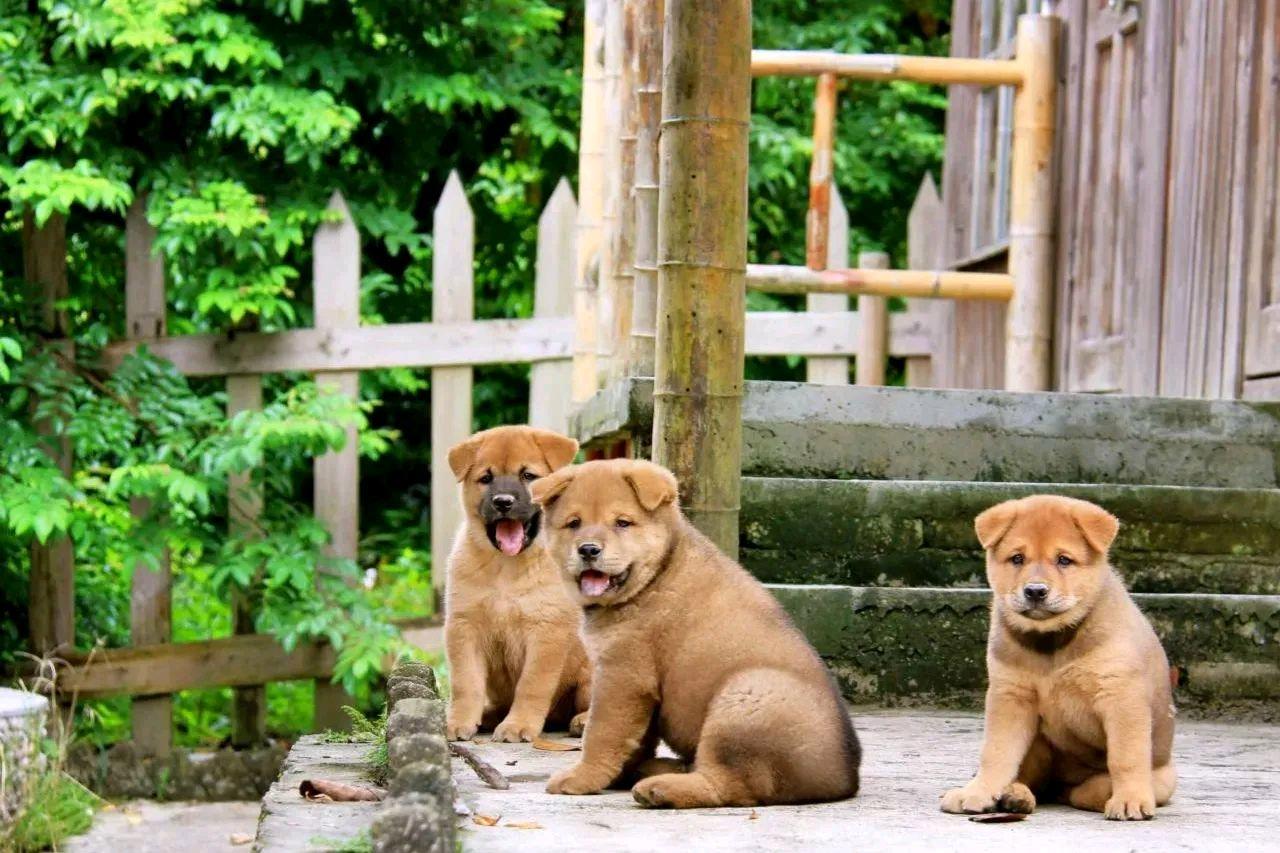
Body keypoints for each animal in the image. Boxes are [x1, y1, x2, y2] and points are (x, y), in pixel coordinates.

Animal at [442, 422, 591, 737]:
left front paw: (518, 725)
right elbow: (465, 683)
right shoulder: (464, 627)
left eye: (528, 476)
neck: (507, 569)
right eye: (486, 478)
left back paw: (583, 720)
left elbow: (532, 685)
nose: (503, 502)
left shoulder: (547, 630)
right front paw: (459, 721)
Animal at [529, 458, 860, 804]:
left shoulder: (623, 676)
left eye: (622, 523)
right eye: (574, 523)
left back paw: (659, 788)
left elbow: (601, 733)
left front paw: (581, 777)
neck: (654, 578)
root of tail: (843, 780)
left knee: (726, 784)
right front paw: (618, 773)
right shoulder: (637, 687)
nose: (588, 549)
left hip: (743, 698)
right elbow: (634, 740)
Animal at [942, 491, 1177, 819]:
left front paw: (1129, 799)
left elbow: (1125, 757)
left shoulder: (1120, 696)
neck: (1051, 643)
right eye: (1017, 558)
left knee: (1088, 789)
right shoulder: (1010, 696)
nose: (1035, 591)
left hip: (1161, 777)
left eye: (1064, 560)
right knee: (1031, 779)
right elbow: (996, 753)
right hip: (1038, 744)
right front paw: (978, 792)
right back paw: (1014, 796)